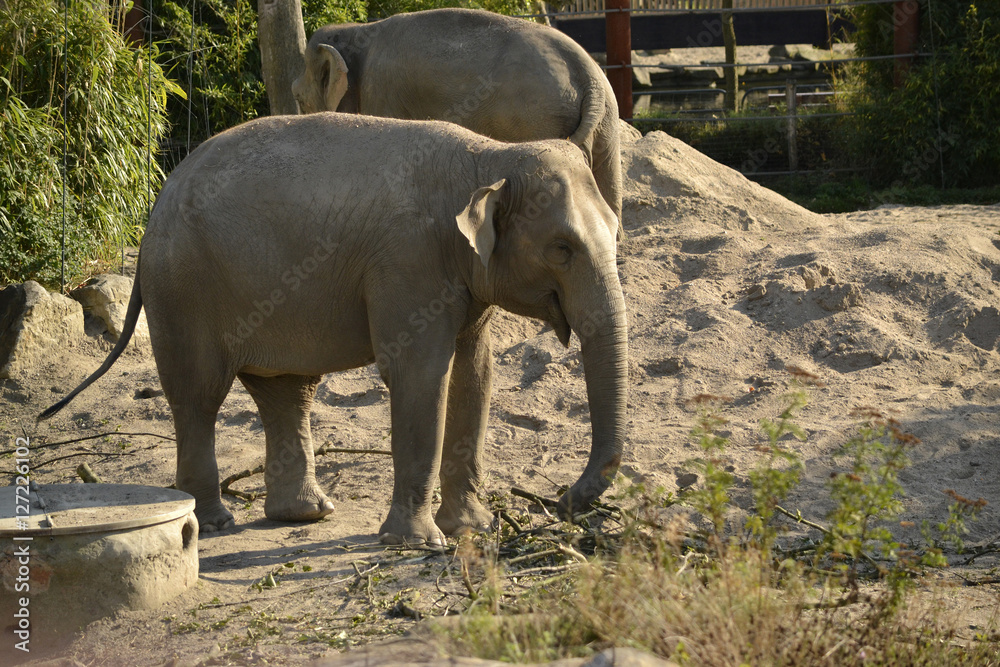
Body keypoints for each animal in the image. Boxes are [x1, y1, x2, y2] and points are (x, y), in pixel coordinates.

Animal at [40, 112, 628, 546]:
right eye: (562, 248)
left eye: (615, 229)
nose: (563, 501)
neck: (488, 156)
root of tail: (152, 215)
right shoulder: (408, 263)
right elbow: (420, 374)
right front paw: (417, 543)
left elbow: (474, 376)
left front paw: (471, 529)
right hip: (184, 291)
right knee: (198, 395)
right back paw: (215, 523)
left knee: (286, 391)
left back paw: (305, 516)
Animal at [290, 8, 624, 241]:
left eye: (298, 98)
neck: (358, 31)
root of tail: (587, 74)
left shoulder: (381, 91)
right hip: (606, 119)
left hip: (538, 118)